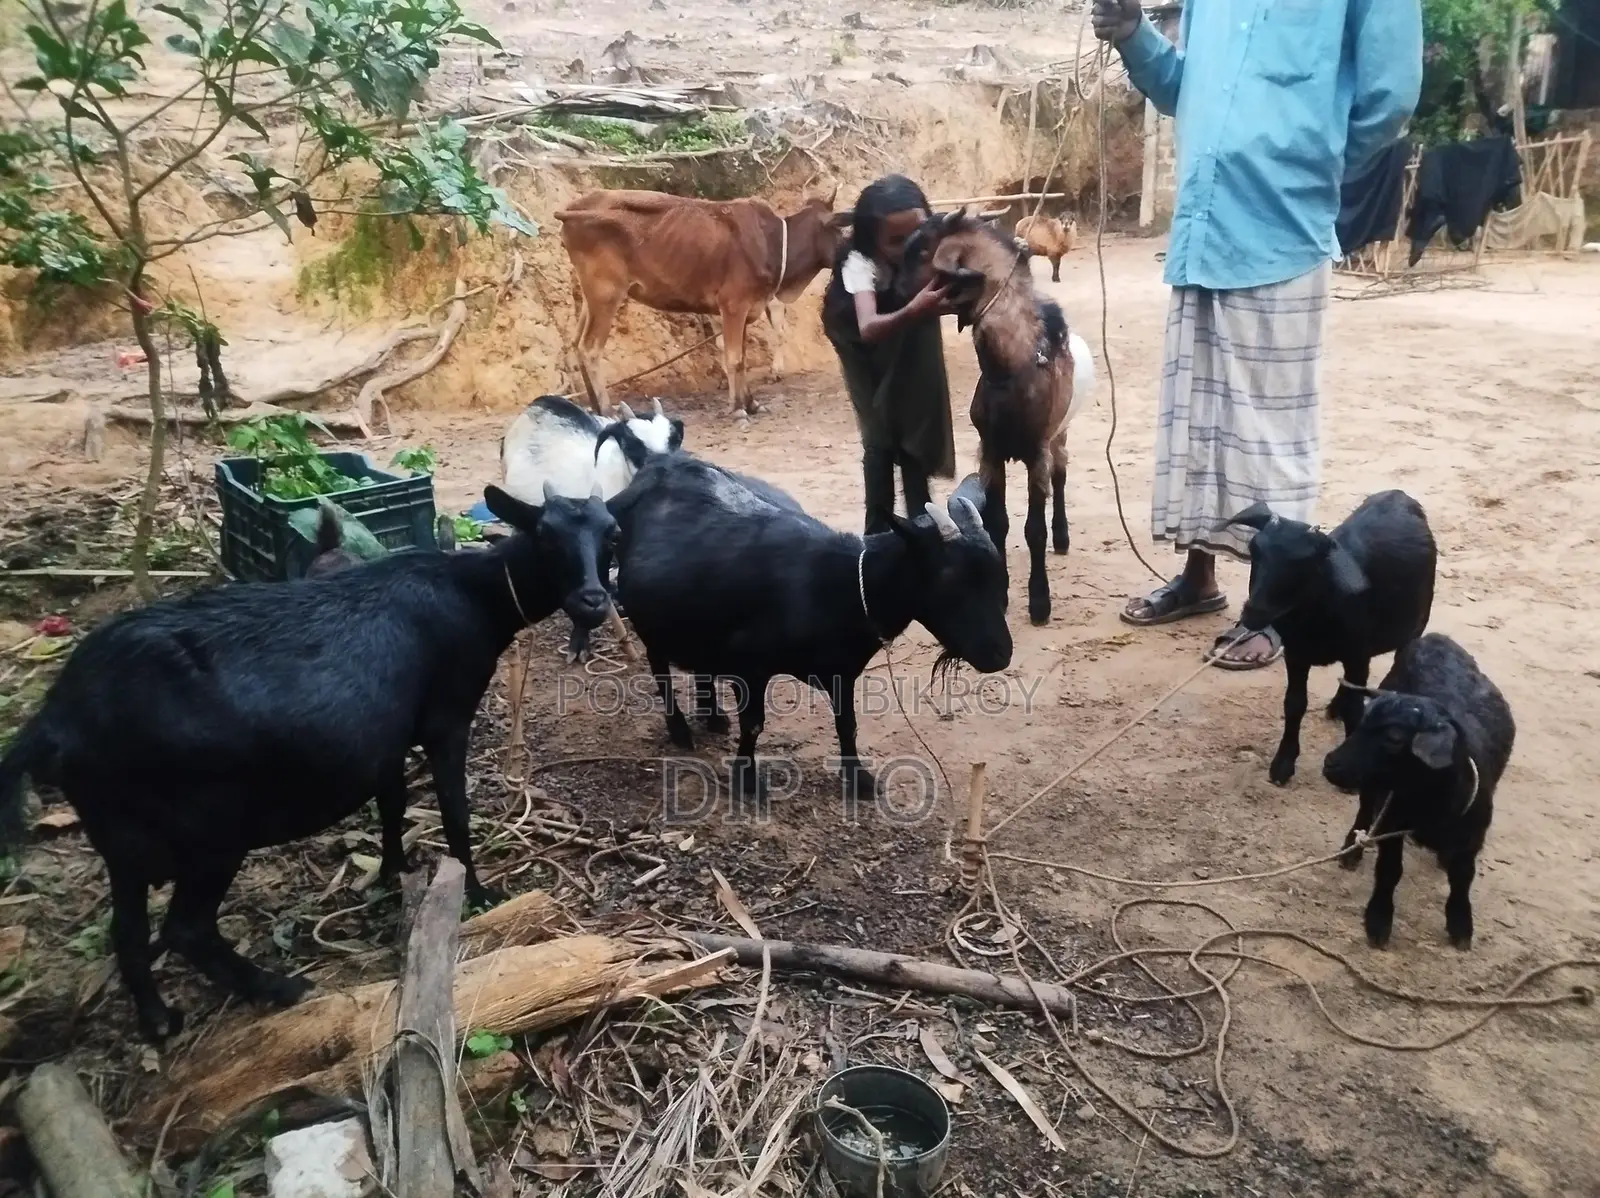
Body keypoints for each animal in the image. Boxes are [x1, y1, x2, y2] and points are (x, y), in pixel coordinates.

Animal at [0, 484, 617, 1042]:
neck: (473, 593)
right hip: (210, 831)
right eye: (545, 533)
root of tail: (55, 720)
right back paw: (276, 987)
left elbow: (392, 803)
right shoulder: (446, 719)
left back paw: (157, 1021)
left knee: (127, 931)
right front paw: (479, 891)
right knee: (185, 928)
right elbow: (454, 812)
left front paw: (393, 871)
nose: (592, 601)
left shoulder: (386, 735)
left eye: (610, 531)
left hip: (121, 836)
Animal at [608, 454, 1012, 799]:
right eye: (949, 580)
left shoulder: (842, 671)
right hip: (649, 620)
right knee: (659, 666)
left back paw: (713, 718)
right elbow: (754, 723)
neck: (841, 588)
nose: (1001, 654)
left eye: (997, 575)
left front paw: (859, 780)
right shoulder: (748, 664)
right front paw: (747, 780)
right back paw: (680, 730)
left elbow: (847, 724)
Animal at [902, 208, 1095, 625]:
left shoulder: (1036, 452)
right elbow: (998, 523)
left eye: (923, 250)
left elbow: (1033, 529)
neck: (1012, 369)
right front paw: (1002, 594)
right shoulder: (990, 451)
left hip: (1060, 434)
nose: (884, 289)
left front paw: (1039, 603)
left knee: (1061, 474)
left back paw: (1062, 536)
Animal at [1223, 489, 1437, 786]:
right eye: (1255, 550)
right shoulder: (1297, 654)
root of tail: (1398, 495)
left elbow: (1355, 709)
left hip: (1414, 626)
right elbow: (1294, 703)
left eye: (1304, 564)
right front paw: (1283, 763)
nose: (1254, 613)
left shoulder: (1358, 654)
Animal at [1322, 633, 1514, 950]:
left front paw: (1461, 926)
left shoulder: (1471, 839)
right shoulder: (1392, 822)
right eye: (1362, 724)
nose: (1330, 764)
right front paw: (1378, 921)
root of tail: (1436, 637)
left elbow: (1463, 879)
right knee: (1365, 807)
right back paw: (1353, 848)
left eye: (1394, 737)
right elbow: (1389, 870)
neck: (1429, 806)